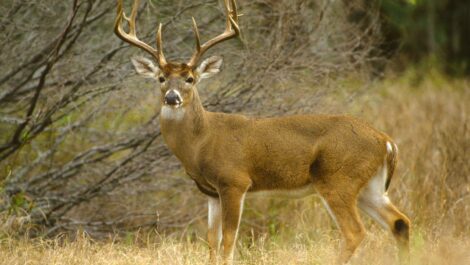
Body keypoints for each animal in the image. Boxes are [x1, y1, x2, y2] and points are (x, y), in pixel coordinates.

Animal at [114, 0, 412, 264]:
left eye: (190, 79)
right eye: (161, 78)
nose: (172, 98)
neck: (201, 142)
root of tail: (386, 141)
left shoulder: (234, 181)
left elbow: (229, 241)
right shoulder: (210, 191)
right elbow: (211, 241)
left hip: (338, 179)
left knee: (355, 232)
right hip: (369, 186)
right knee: (400, 222)